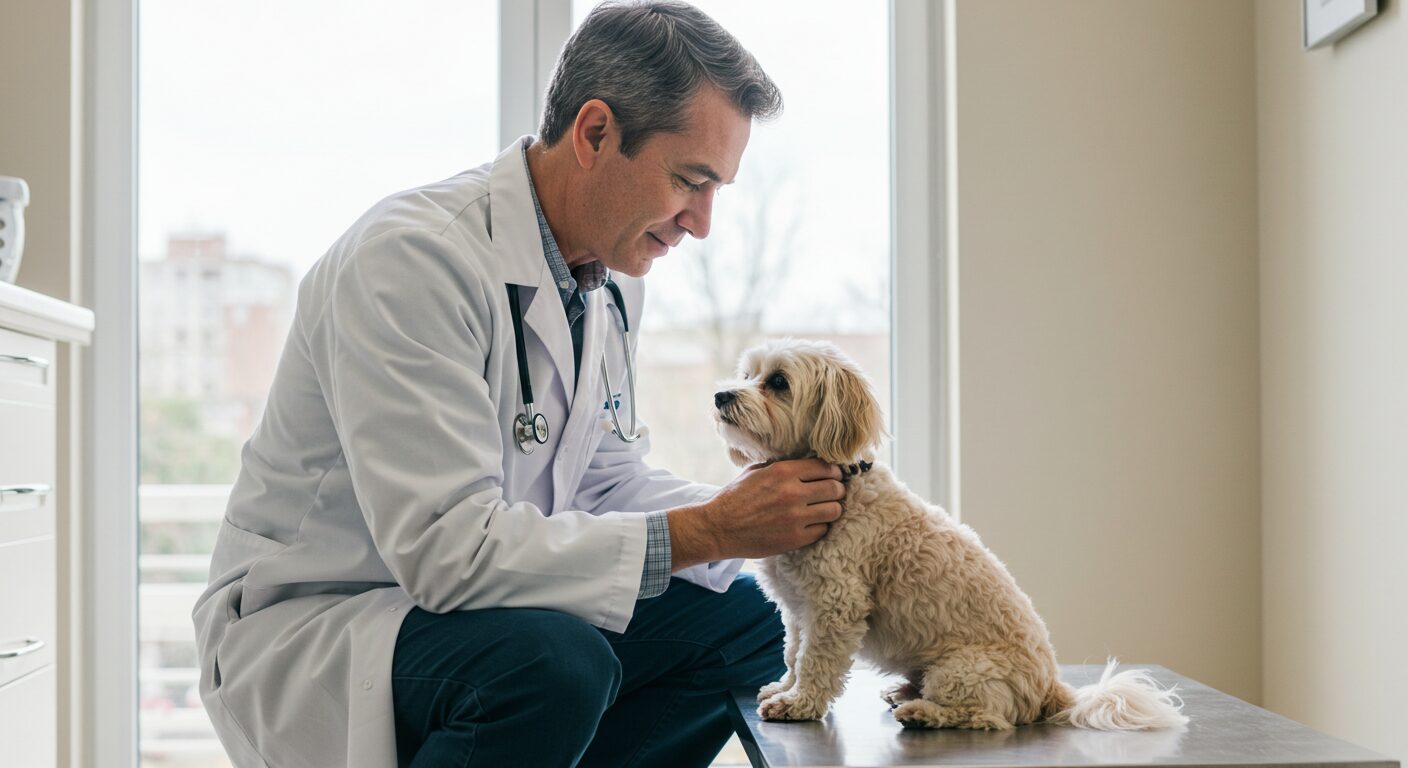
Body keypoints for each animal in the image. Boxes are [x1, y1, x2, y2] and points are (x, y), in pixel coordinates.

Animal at [715, 338, 1188, 727]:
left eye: (778, 382)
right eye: (747, 375)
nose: (722, 395)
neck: (842, 481)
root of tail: (1052, 688)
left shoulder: (836, 605)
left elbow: (815, 660)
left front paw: (799, 703)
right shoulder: (798, 608)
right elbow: (793, 652)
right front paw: (784, 686)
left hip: (963, 671)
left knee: (987, 717)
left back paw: (923, 712)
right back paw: (904, 691)